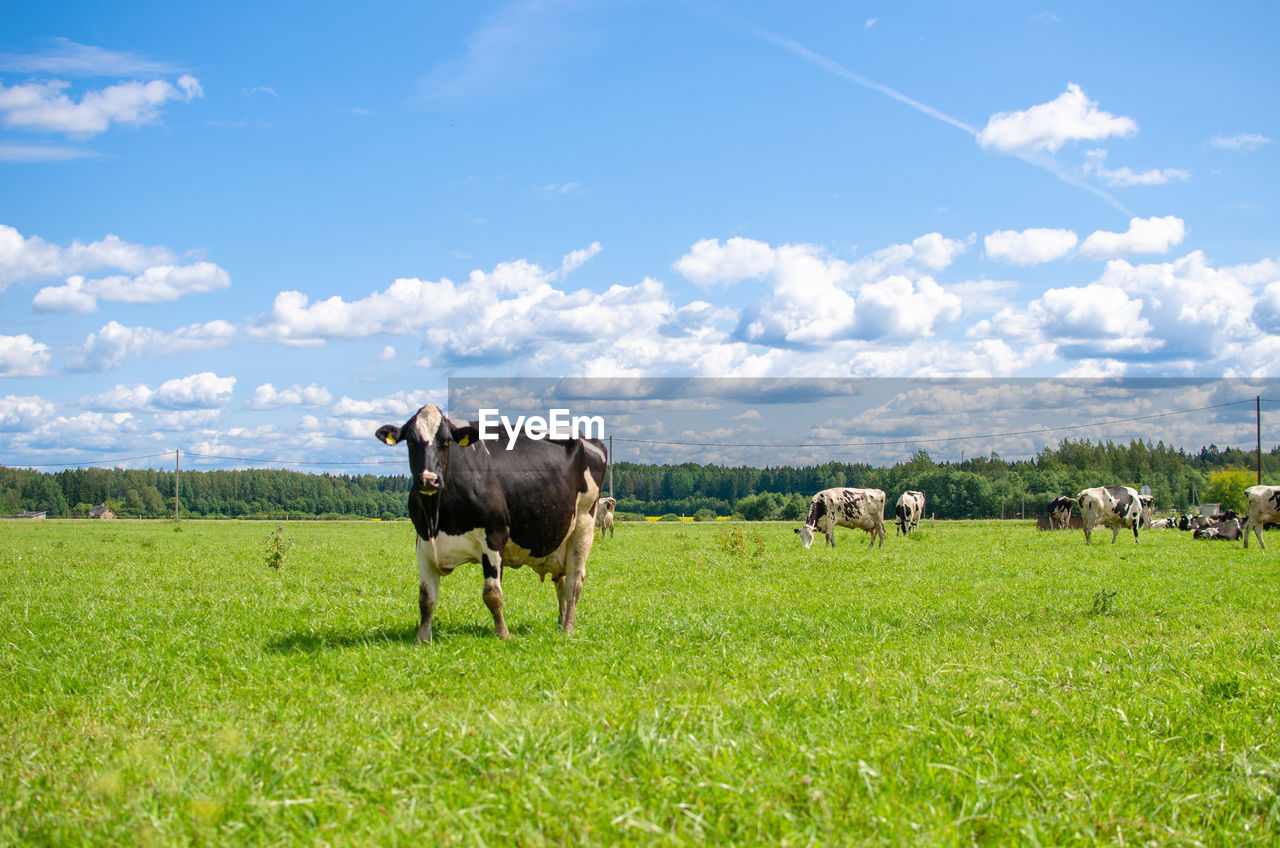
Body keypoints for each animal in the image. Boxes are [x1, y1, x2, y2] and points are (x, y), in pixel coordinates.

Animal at [376, 407, 606, 645]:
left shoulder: (494, 536)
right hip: (559, 539)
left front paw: (502, 633)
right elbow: (426, 597)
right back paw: (560, 625)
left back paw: (568, 629)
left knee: (574, 582)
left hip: (583, 525)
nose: (429, 480)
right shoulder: (423, 542)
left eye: (446, 441)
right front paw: (421, 638)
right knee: (561, 581)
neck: (437, 517)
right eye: (411, 441)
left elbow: (492, 593)